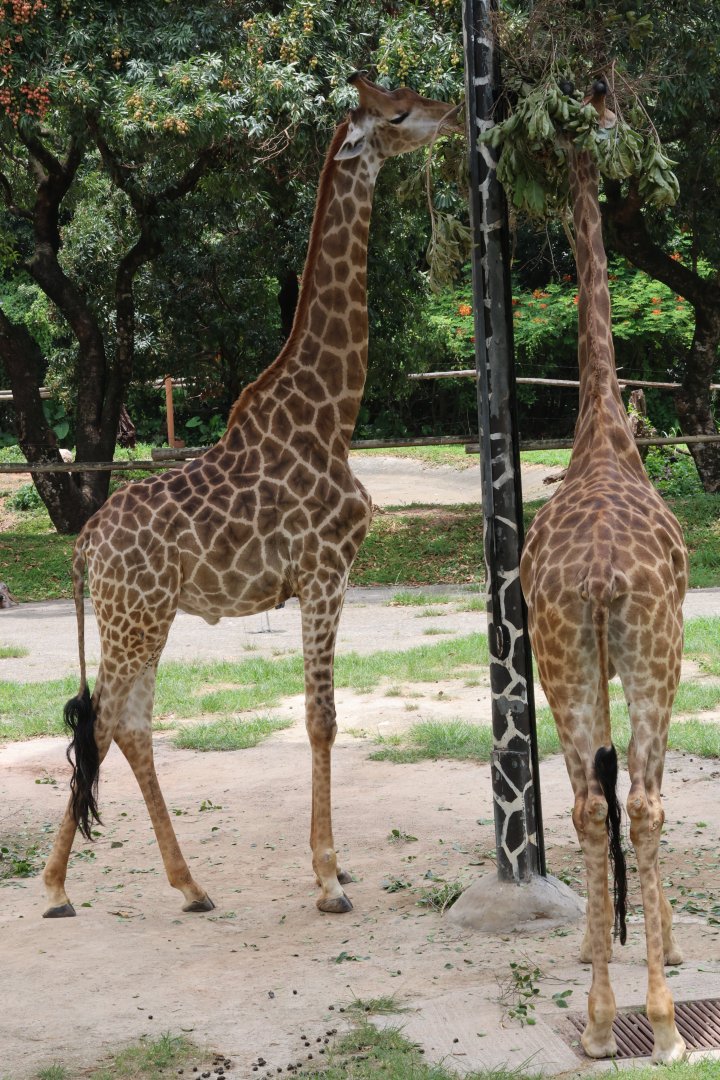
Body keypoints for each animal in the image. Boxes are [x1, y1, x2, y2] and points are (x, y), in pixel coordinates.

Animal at [42, 73, 461, 921]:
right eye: (399, 112)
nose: (456, 112)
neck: (333, 416)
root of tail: (84, 545)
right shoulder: (326, 574)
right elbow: (322, 718)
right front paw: (329, 880)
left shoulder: (327, 581)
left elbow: (324, 714)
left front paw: (335, 869)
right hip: (134, 615)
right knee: (103, 723)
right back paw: (59, 886)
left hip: (146, 615)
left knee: (127, 725)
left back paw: (189, 885)